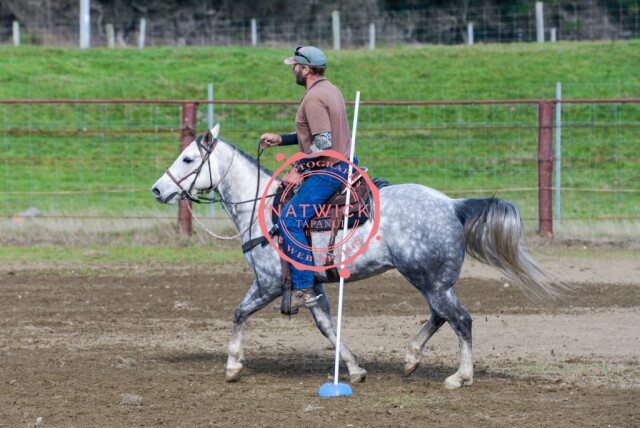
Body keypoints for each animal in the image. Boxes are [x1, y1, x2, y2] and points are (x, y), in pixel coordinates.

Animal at [151, 124, 565, 389]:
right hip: (434, 281)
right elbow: (326, 326)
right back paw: (411, 358)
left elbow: (239, 313)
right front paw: (353, 370)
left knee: (460, 320)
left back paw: (459, 376)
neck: (261, 209)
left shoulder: (268, 283)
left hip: (429, 280)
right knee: (440, 316)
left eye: (188, 159)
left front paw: (233, 365)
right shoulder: (311, 285)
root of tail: (452, 204)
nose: (156, 190)